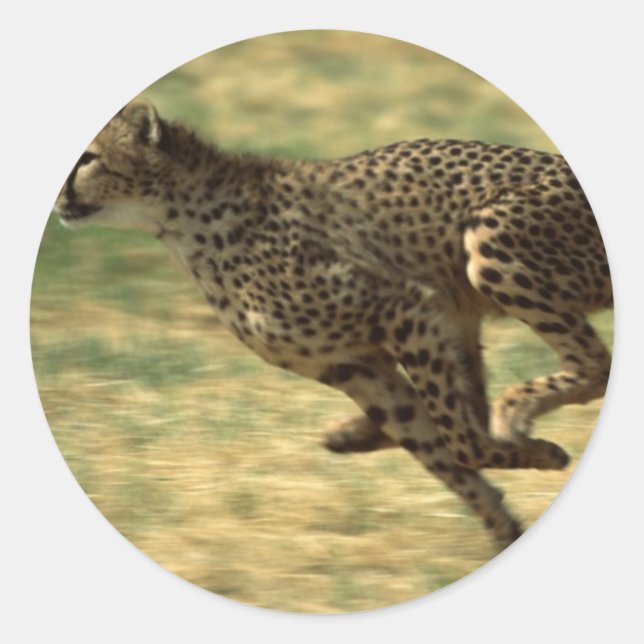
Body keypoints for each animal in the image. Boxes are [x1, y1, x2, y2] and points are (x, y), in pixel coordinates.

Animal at [54, 100, 612, 546]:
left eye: (89, 157)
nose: (59, 200)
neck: (180, 218)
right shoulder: (356, 365)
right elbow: (439, 445)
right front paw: (502, 524)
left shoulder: (404, 309)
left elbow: (460, 439)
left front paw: (541, 454)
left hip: (490, 241)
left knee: (594, 365)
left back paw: (513, 412)